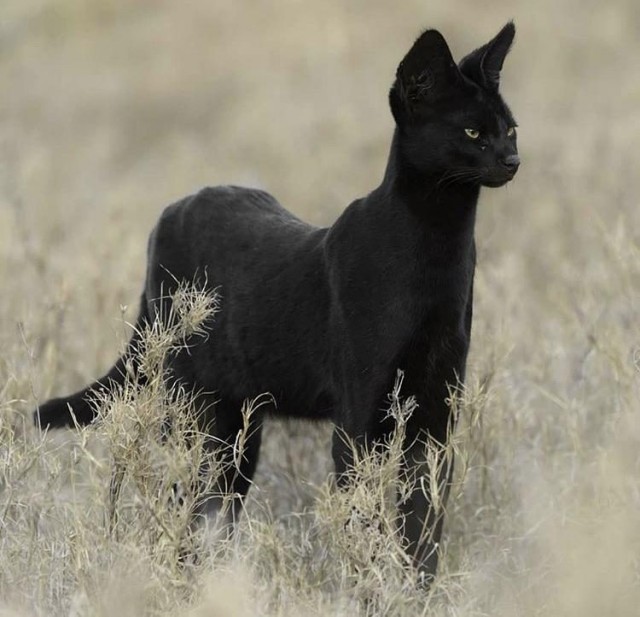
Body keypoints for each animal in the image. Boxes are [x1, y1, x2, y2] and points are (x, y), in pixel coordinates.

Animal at [35, 21, 516, 580]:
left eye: (510, 128)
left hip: (238, 432)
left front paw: (417, 589)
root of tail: (169, 214)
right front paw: (368, 587)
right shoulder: (359, 418)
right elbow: (367, 522)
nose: (512, 159)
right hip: (194, 419)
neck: (441, 241)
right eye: (472, 133)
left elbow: (424, 525)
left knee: (209, 515)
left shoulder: (436, 417)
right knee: (181, 508)